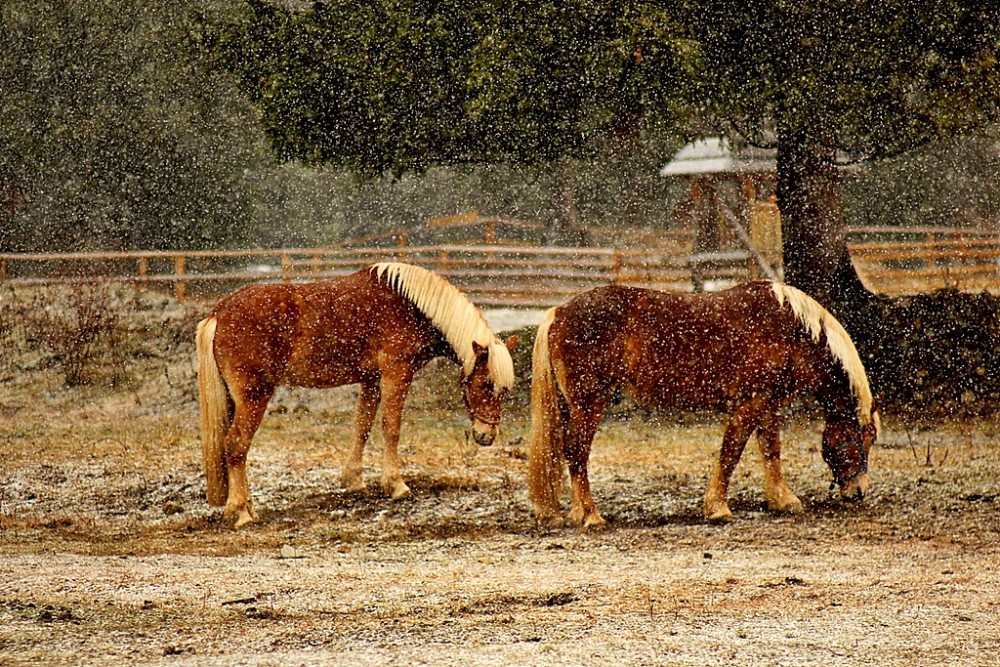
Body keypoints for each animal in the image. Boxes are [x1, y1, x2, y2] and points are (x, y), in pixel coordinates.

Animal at [196, 262, 517, 527]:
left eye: (504, 389)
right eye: (484, 384)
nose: (487, 435)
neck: (411, 305)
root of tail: (219, 313)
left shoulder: (371, 381)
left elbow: (361, 426)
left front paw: (354, 480)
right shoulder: (396, 375)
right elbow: (391, 427)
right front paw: (396, 485)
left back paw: (245, 506)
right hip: (254, 397)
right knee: (236, 444)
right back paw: (241, 512)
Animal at [528, 280, 880, 529]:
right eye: (859, 438)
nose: (858, 491)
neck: (790, 329)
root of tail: (559, 312)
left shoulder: (768, 405)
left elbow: (771, 451)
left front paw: (783, 499)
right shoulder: (749, 404)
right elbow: (731, 453)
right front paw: (718, 508)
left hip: (570, 408)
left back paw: (567, 513)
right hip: (589, 406)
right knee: (576, 452)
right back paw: (591, 515)